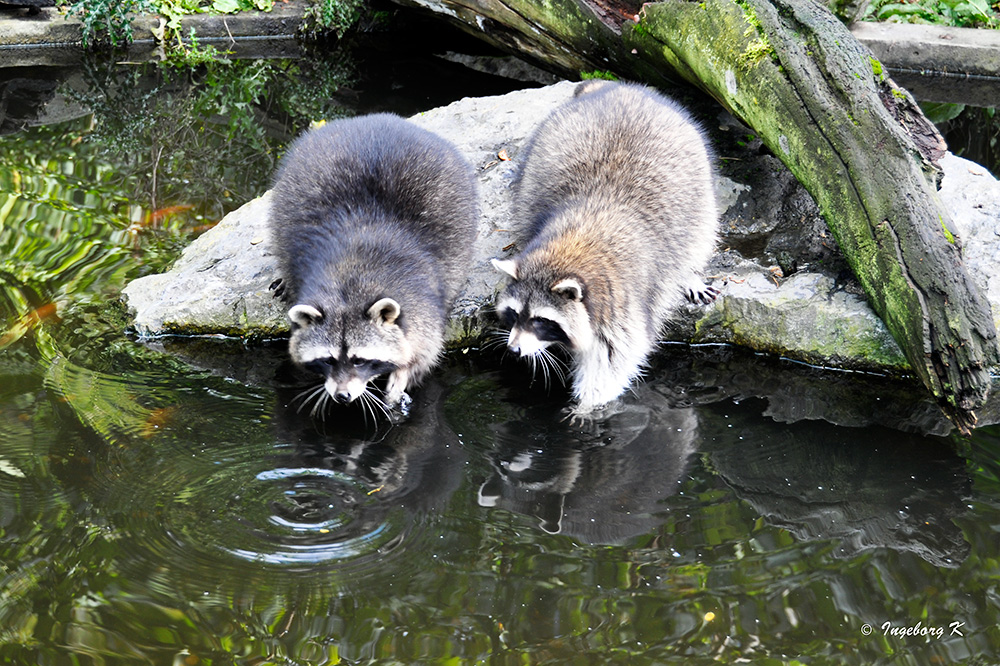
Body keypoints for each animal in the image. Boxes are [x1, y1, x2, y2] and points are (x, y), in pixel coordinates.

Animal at [272, 115, 478, 416]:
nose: (342, 396)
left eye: (359, 360)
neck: (350, 283)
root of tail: (376, 118)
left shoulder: (421, 299)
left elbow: (427, 349)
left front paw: (403, 372)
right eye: (328, 360)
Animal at [492, 80, 720, 412]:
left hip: (700, 187)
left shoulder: (621, 302)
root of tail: (623, 89)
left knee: (699, 235)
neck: (571, 246)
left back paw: (689, 272)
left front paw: (587, 407)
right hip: (536, 165)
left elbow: (613, 360)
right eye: (514, 314)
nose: (514, 350)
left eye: (541, 321)